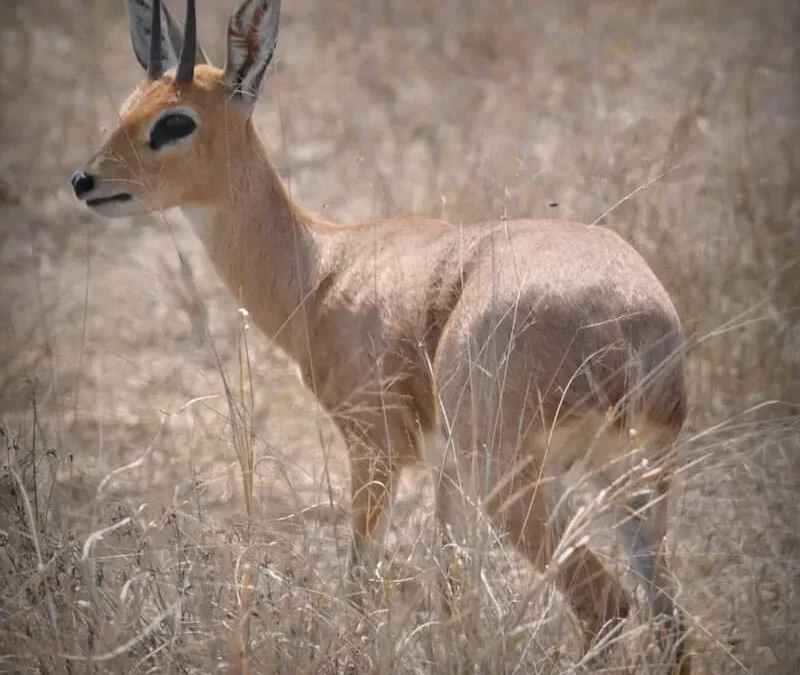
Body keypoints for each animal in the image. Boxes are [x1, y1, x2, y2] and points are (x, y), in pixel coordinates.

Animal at [72, 0, 692, 668]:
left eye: (175, 121)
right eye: (130, 105)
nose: (85, 180)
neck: (324, 267)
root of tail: (631, 325)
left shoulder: (374, 451)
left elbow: (360, 578)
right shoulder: (447, 476)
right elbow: (453, 593)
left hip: (517, 484)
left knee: (605, 604)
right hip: (633, 484)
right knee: (669, 617)